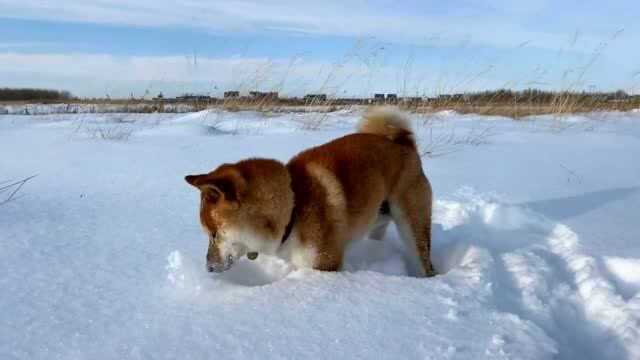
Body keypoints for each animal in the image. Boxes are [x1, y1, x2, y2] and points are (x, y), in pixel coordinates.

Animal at [182, 108, 438, 278]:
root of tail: (403, 143)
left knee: (425, 260)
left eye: (214, 234)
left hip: (413, 224)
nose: (208, 268)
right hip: (378, 217)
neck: (294, 205)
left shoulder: (325, 265)